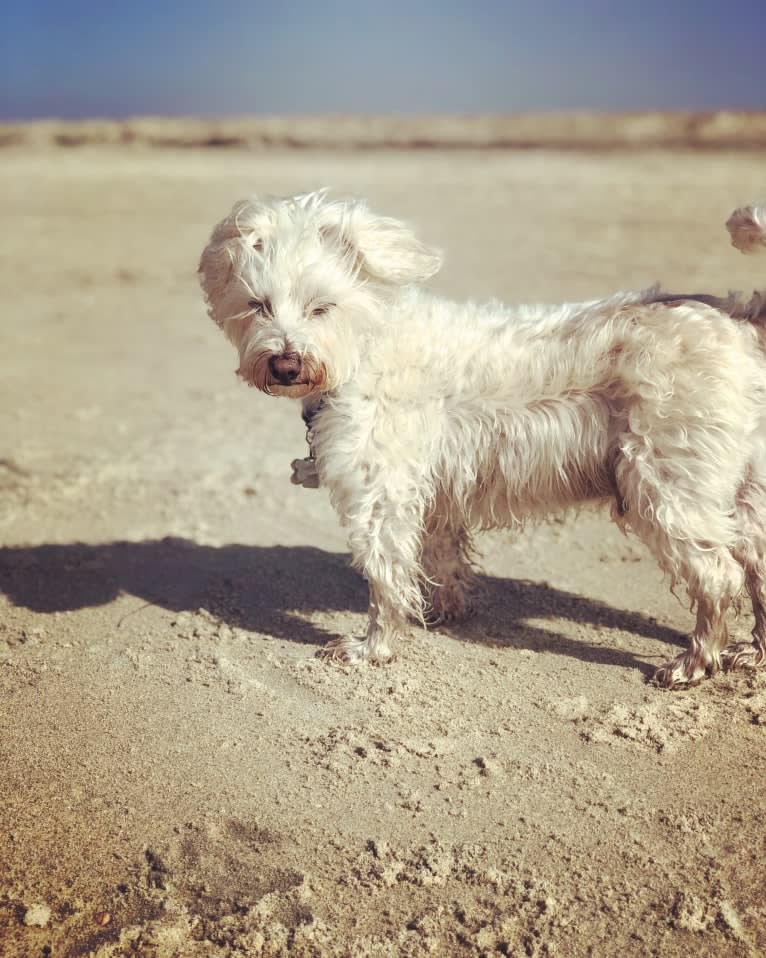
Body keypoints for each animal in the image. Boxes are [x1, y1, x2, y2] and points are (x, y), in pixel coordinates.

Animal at [201, 195, 766, 688]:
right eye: (257, 305)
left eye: (321, 307)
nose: (285, 363)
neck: (364, 347)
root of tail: (740, 319)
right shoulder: (432, 492)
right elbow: (439, 557)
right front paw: (443, 611)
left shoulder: (378, 496)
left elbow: (384, 577)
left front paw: (372, 649)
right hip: (745, 490)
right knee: (757, 568)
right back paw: (751, 654)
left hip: (666, 486)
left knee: (717, 574)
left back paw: (695, 663)